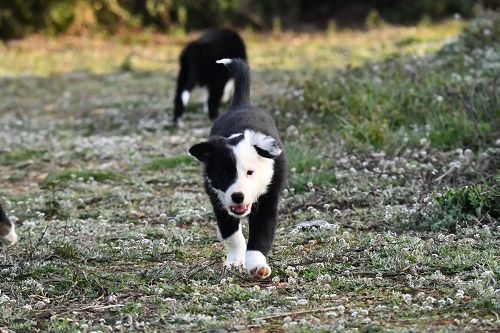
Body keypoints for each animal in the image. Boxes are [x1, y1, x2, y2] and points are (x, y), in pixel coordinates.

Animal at [189, 57, 288, 278]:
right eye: (224, 174)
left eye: (250, 172)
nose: (238, 196)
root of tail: (242, 104)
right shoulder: (219, 201)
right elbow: (232, 234)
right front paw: (235, 261)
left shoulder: (268, 200)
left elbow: (260, 235)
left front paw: (257, 265)